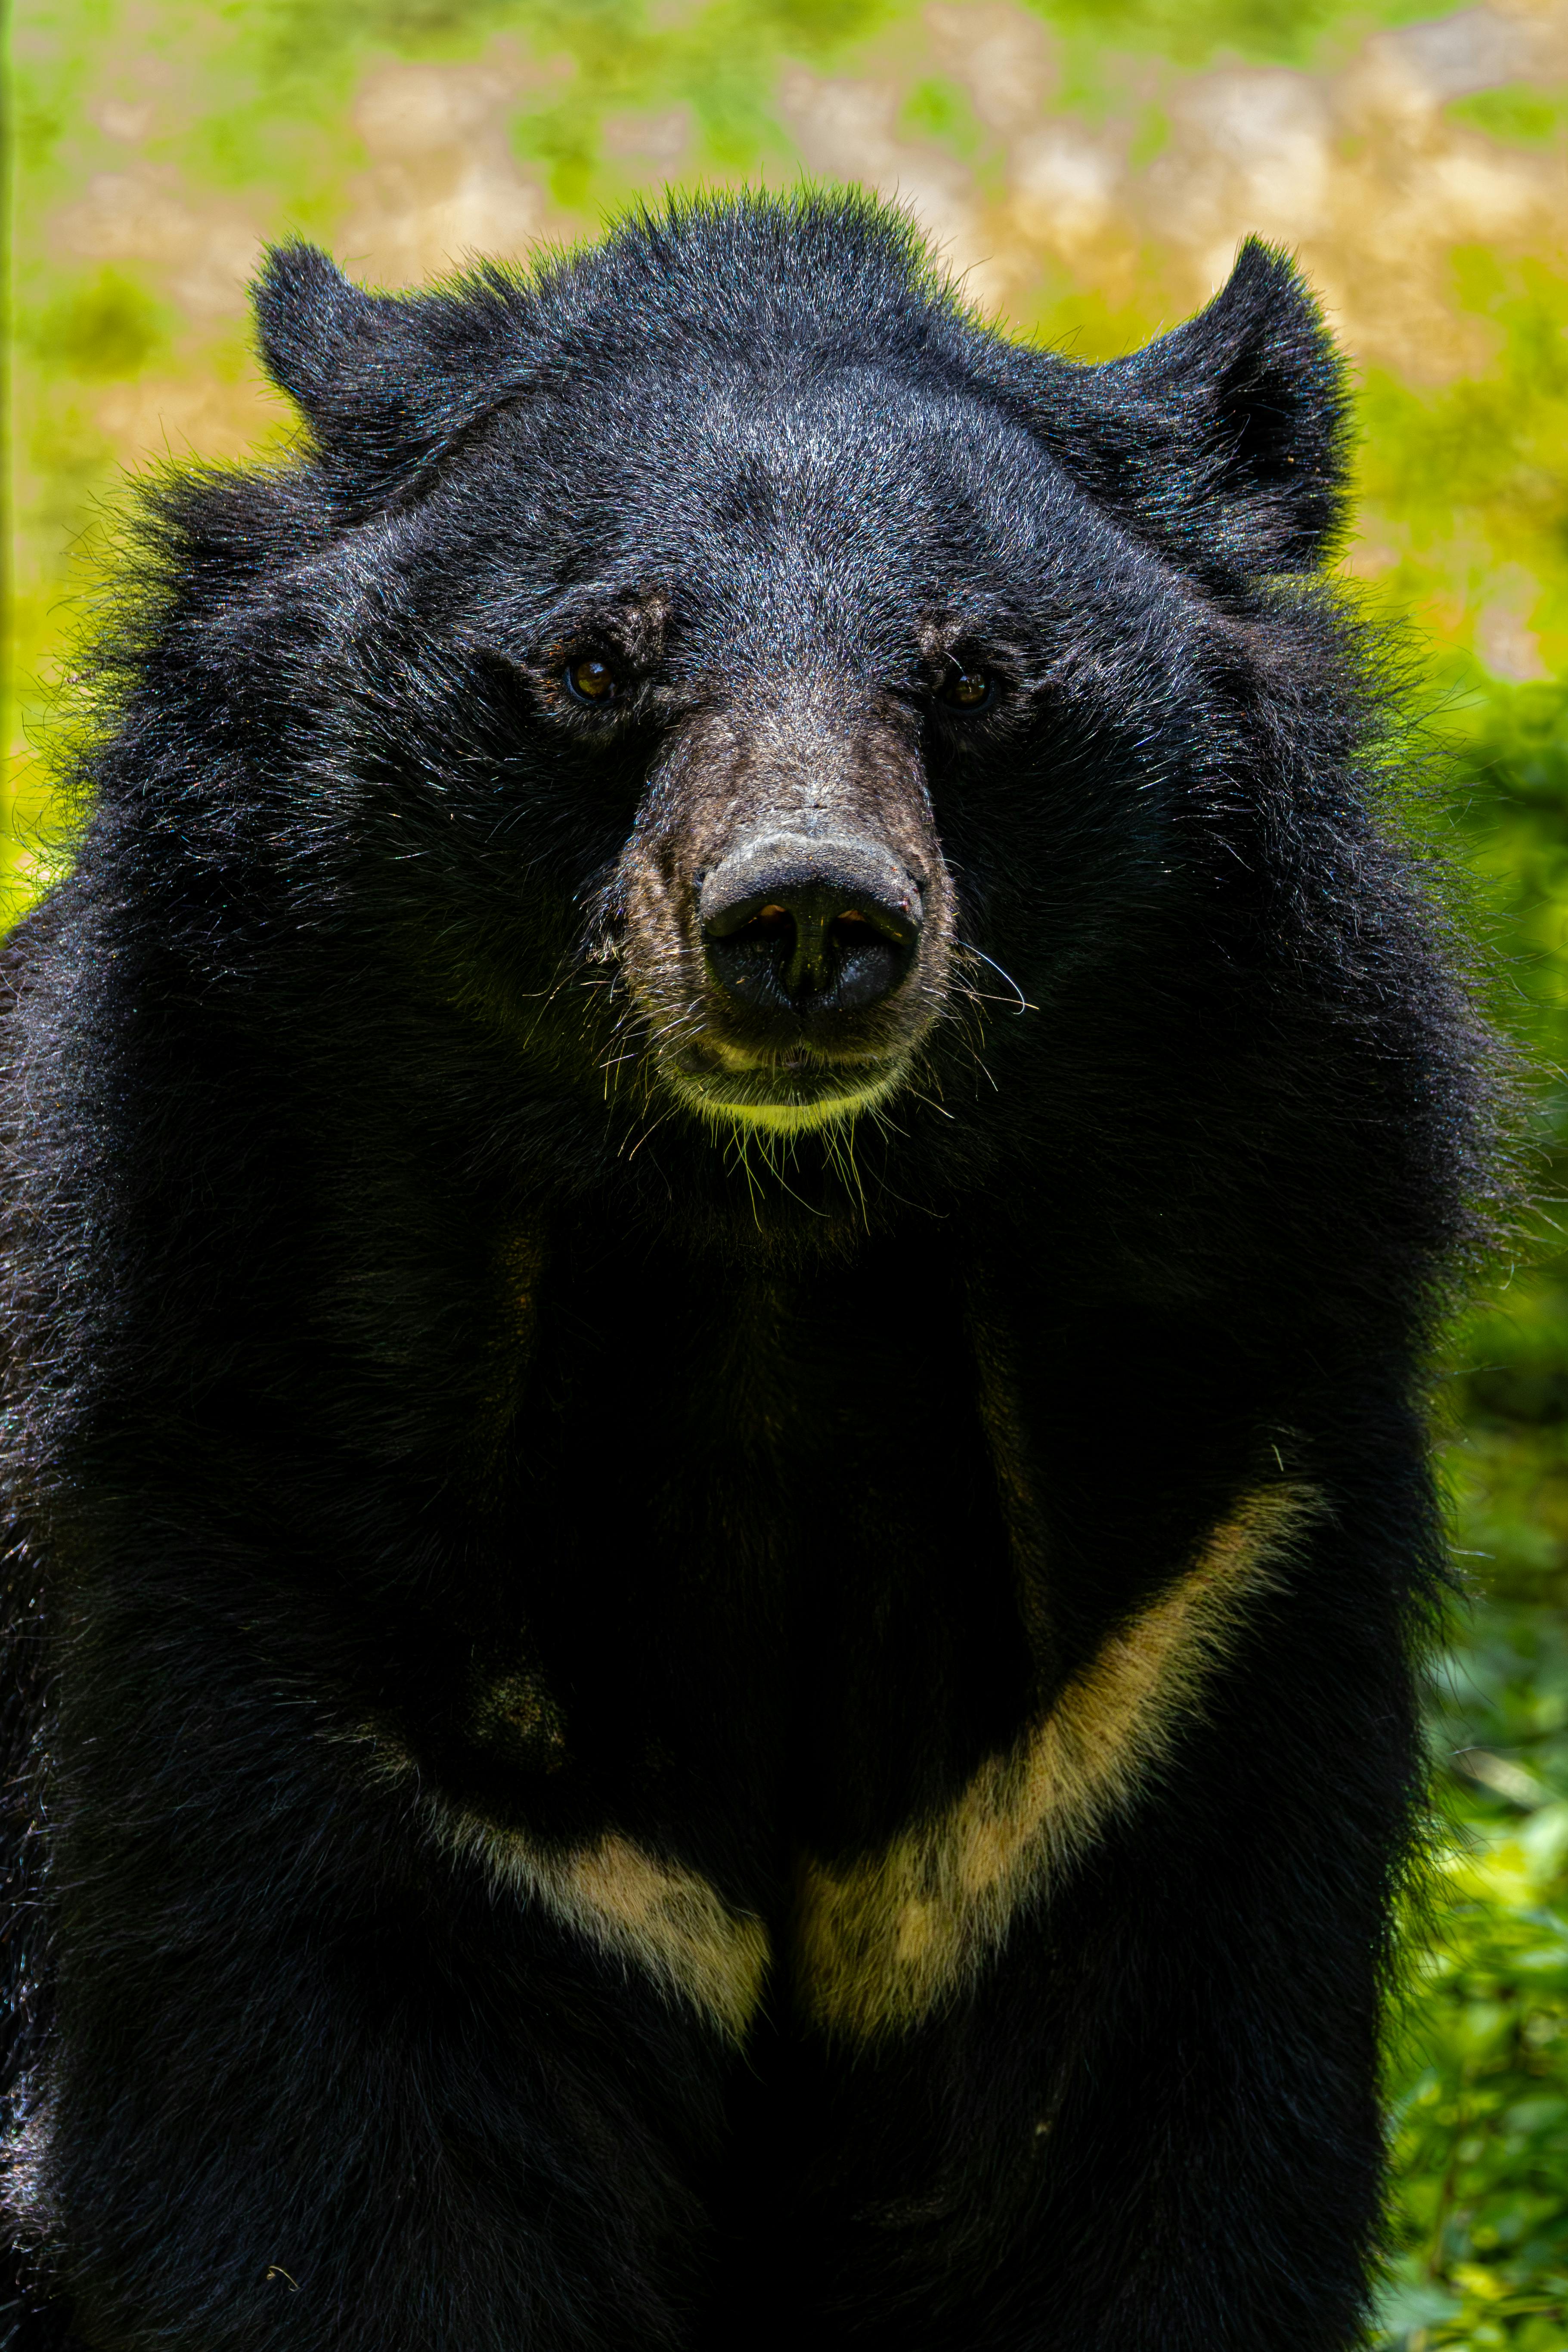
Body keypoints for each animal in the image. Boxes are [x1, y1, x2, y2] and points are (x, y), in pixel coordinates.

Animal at [0, 189, 1501, 2351]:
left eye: (977, 674)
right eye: (591, 659)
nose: (804, 920)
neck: (764, 1265)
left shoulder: (1178, 1629)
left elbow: (1141, 2145)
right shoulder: (253, 1521)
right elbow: (333, 2150)